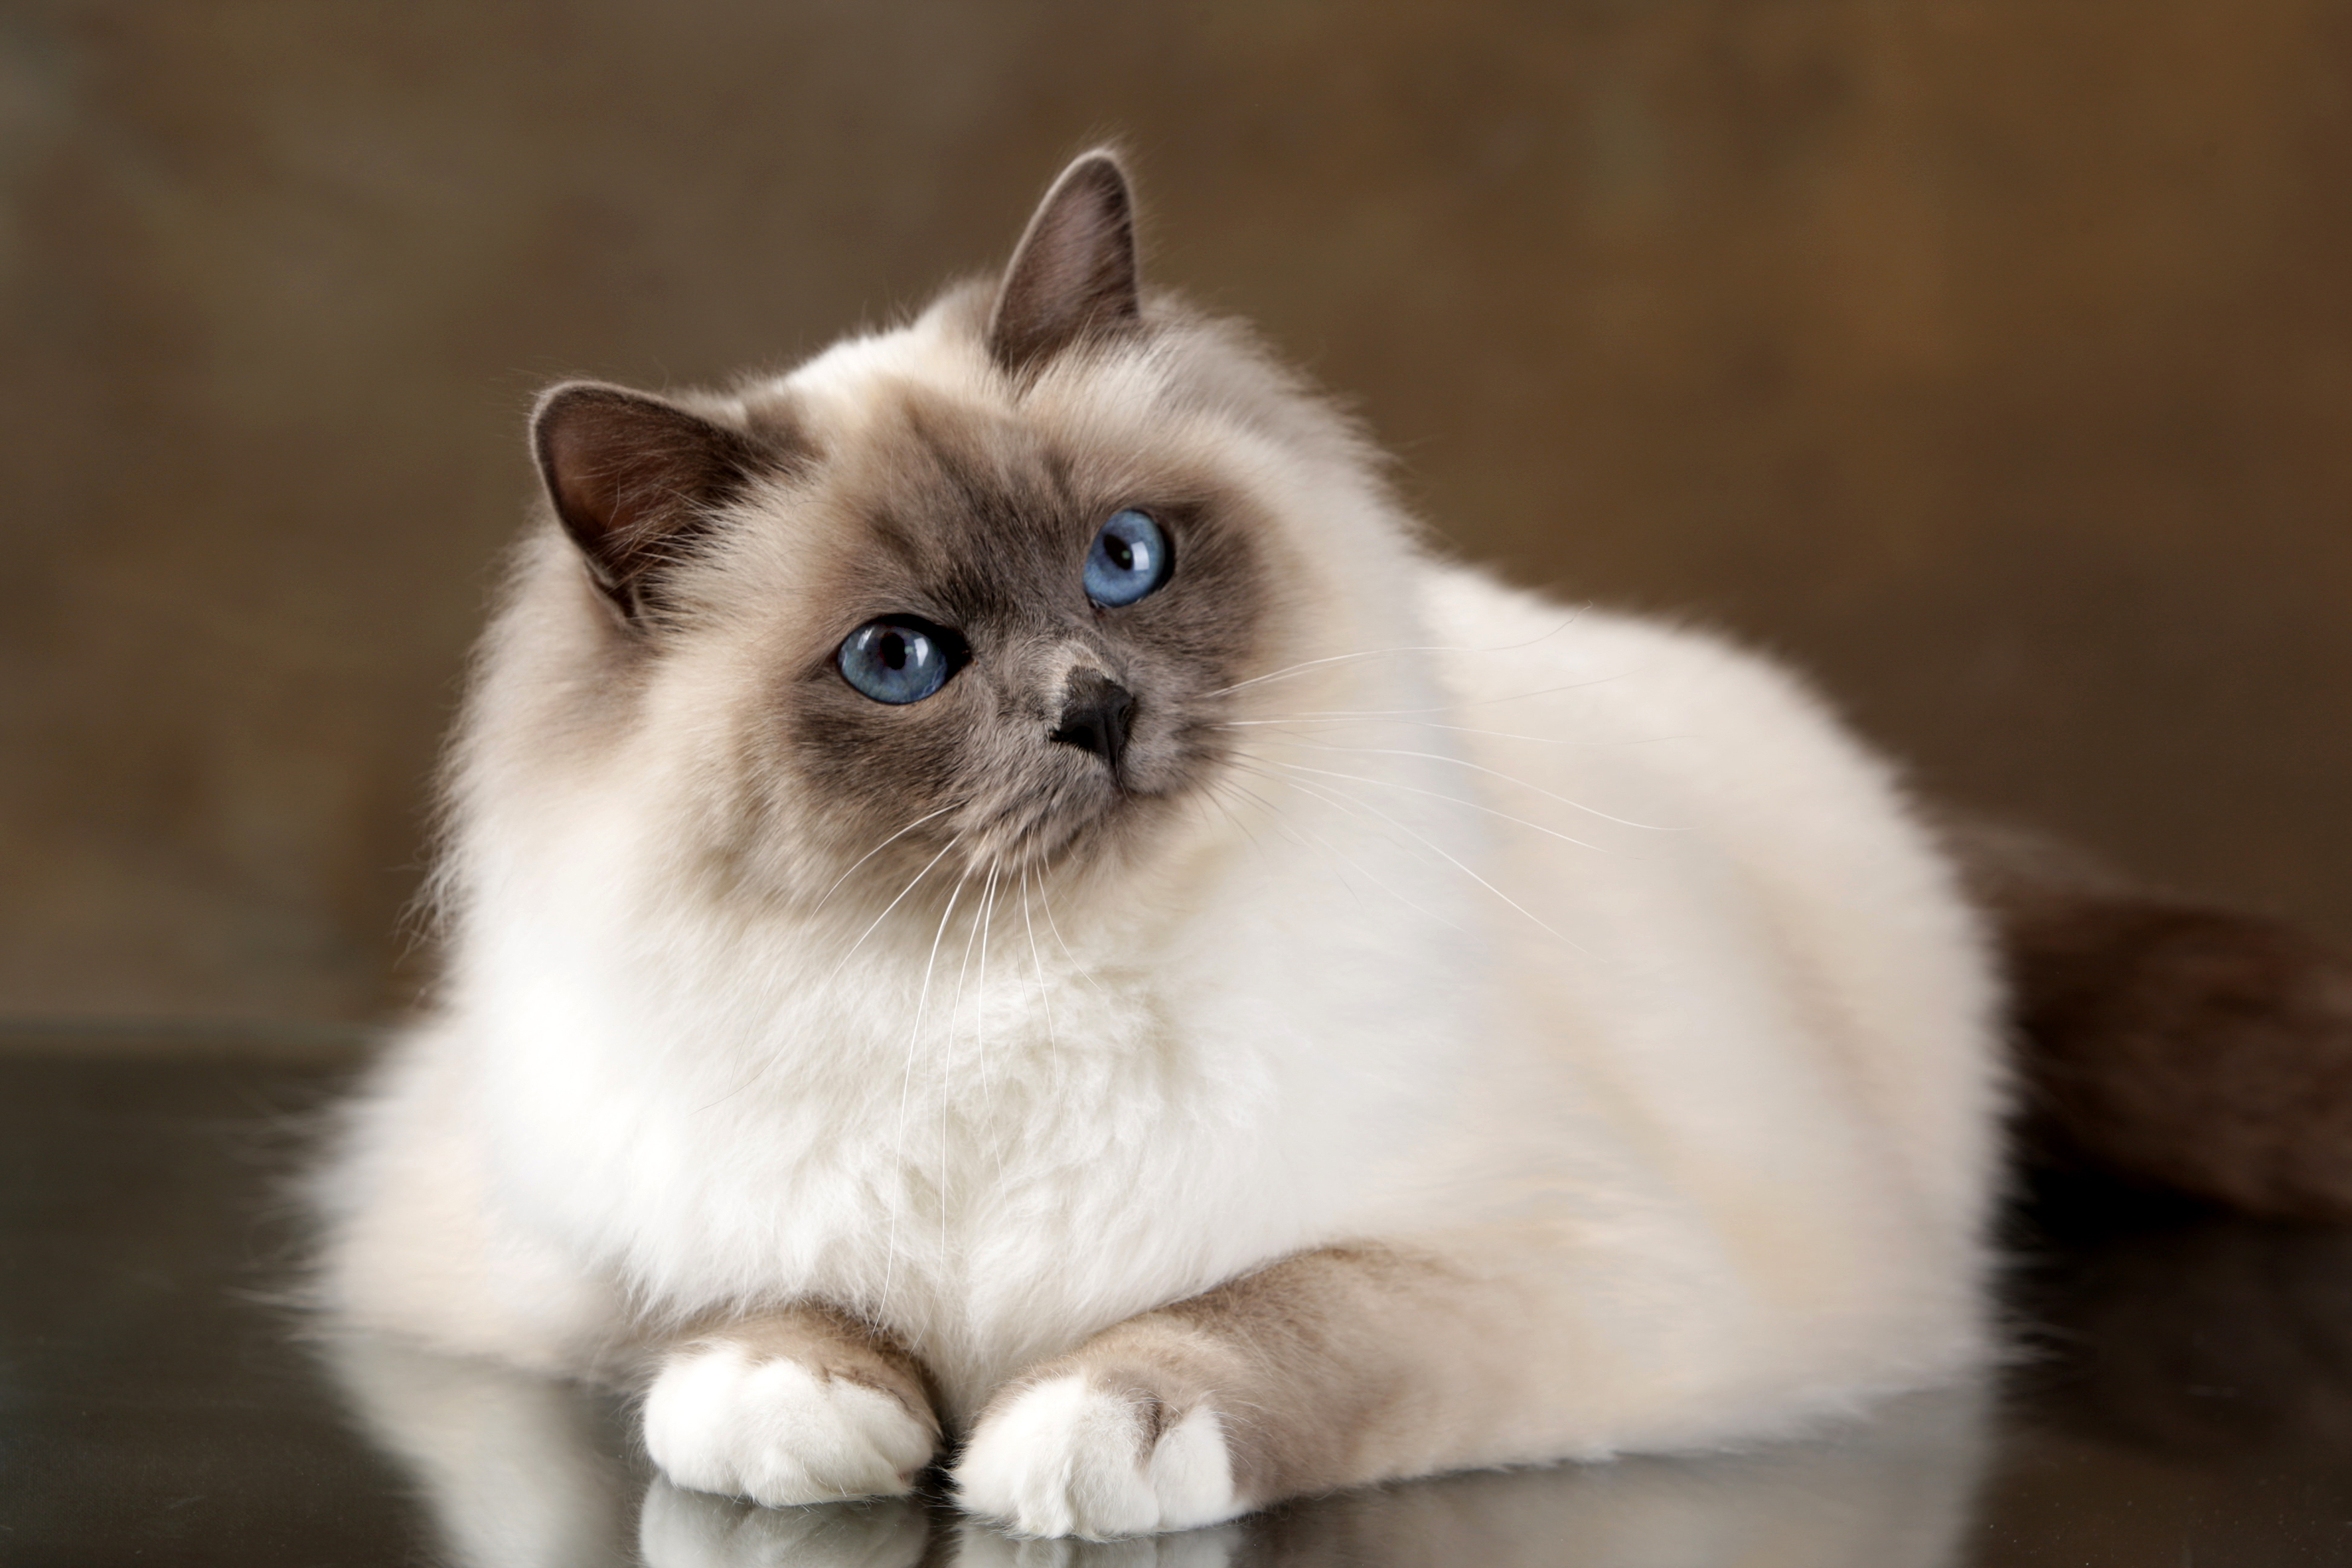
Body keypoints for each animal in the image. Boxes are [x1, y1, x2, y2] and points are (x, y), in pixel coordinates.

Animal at [317, 150, 2352, 1542]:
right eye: (900, 660)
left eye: (1123, 560)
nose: (1094, 708)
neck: (1012, 987)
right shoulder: (530, 1214)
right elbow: (728, 1297)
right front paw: (799, 1399)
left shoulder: (1564, 1262)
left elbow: (1280, 1308)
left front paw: (1089, 1432)